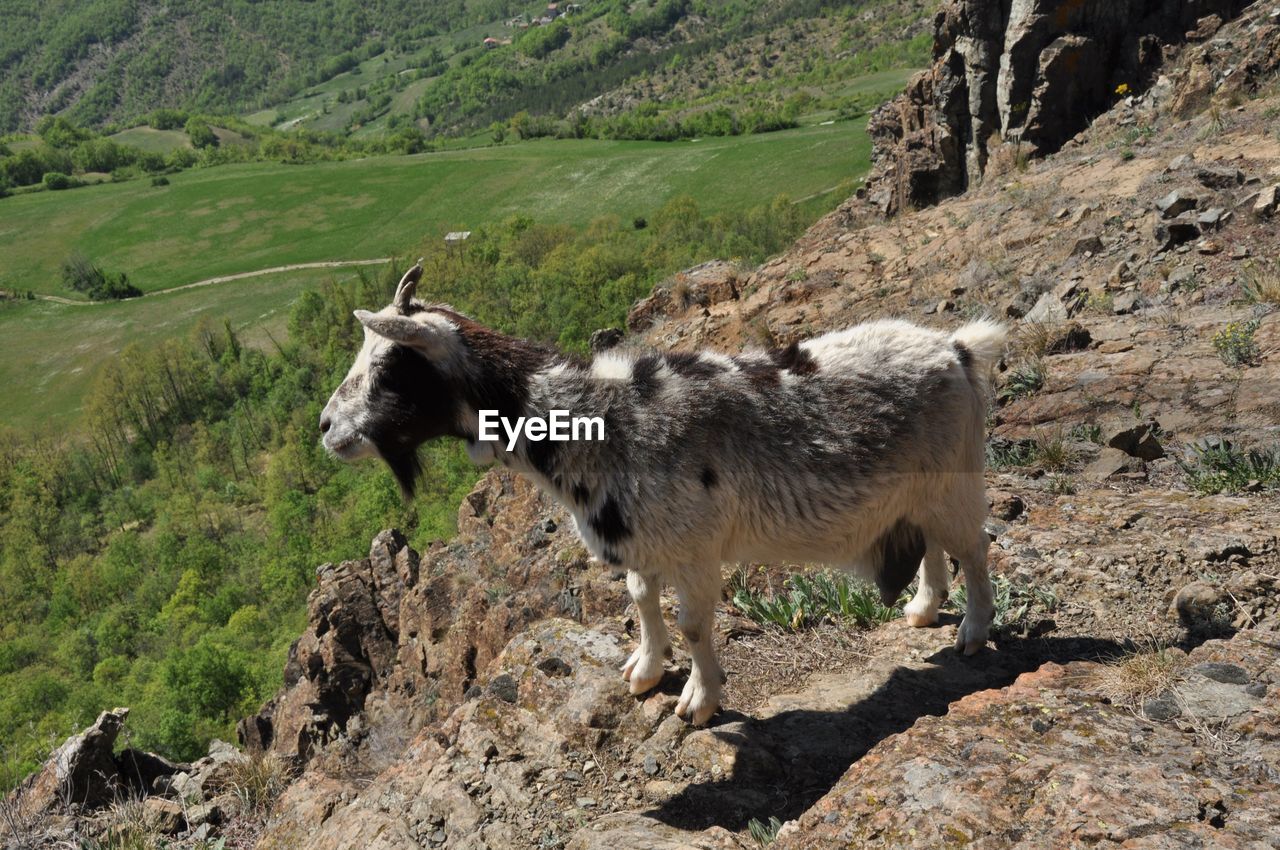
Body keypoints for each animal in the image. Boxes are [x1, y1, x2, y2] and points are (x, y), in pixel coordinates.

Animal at [322, 263, 1008, 721]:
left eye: (391, 366)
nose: (327, 427)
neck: (600, 420)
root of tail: (957, 349)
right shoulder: (640, 541)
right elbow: (641, 601)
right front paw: (644, 672)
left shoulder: (694, 548)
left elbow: (694, 625)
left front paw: (699, 702)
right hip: (919, 491)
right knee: (933, 545)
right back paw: (922, 609)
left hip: (954, 479)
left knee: (974, 548)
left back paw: (973, 632)